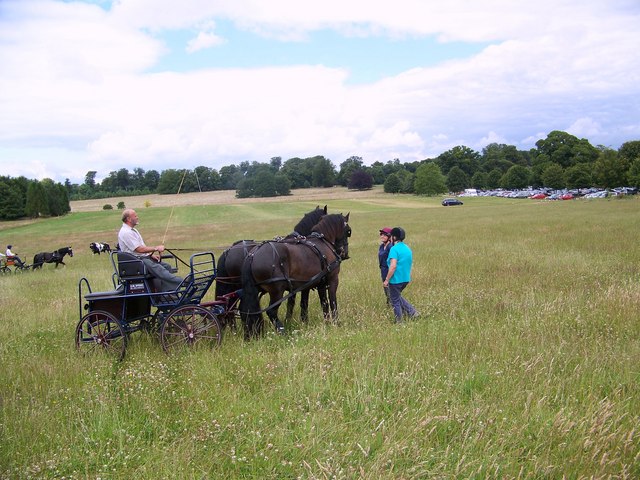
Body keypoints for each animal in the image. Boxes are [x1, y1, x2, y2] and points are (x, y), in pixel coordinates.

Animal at [239, 212, 350, 340]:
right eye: (348, 231)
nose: (345, 253)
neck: (323, 242)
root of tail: (252, 255)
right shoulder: (332, 280)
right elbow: (332, 301)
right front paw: (336, 323)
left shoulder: (316, 284)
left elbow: (321, 303)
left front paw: (325, 322)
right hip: (277, 291)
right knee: (271, 311)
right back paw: (282, 331)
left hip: (255, 291)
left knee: (247, 311)